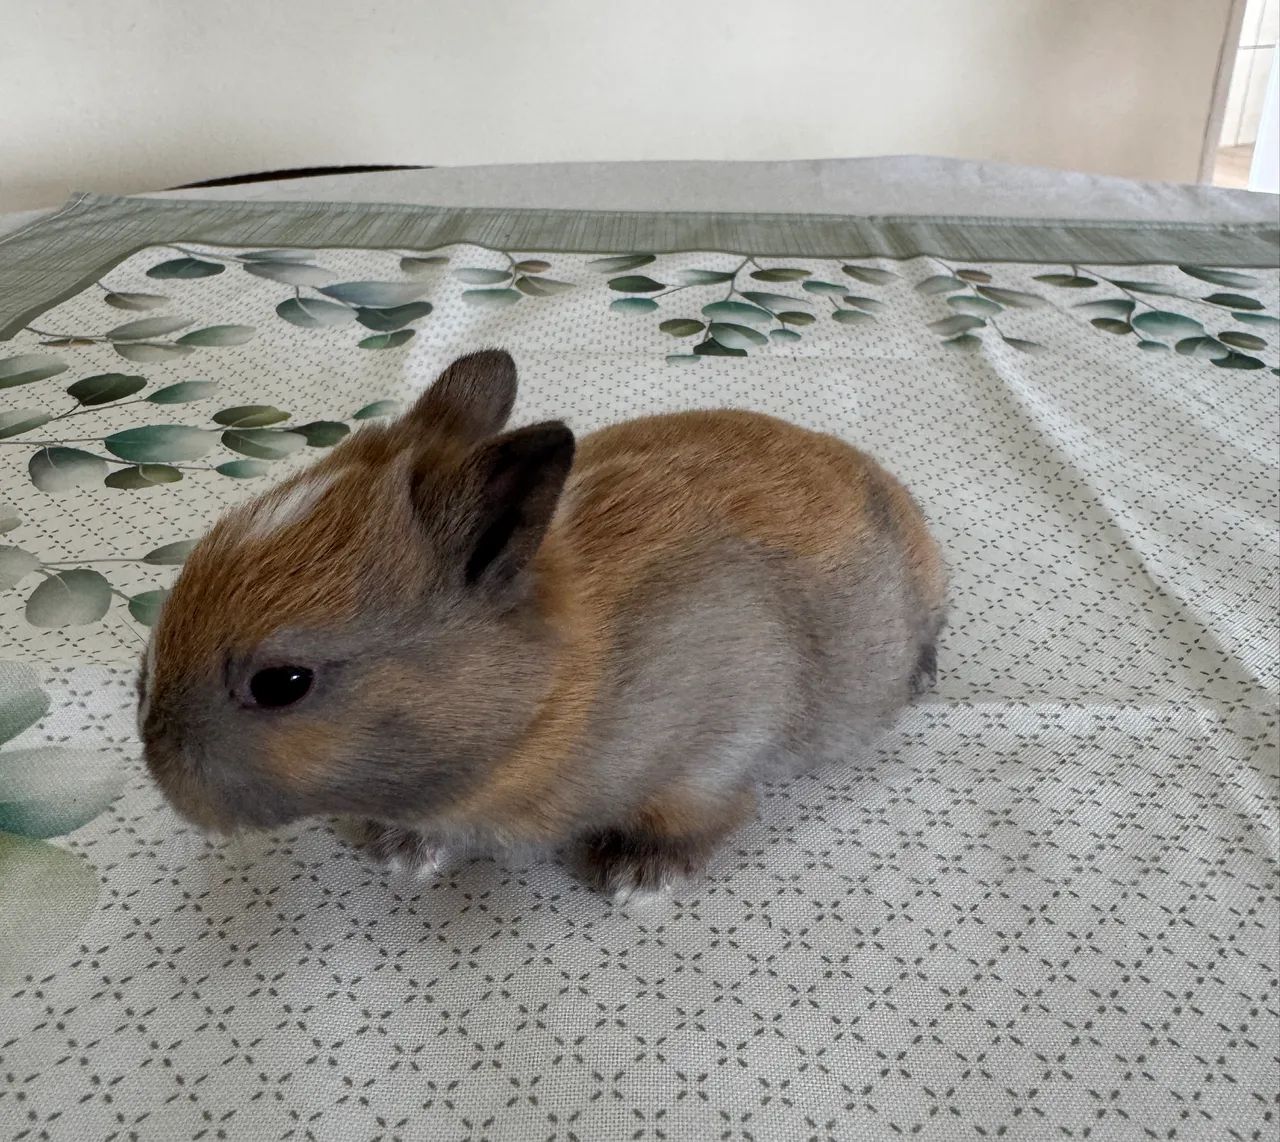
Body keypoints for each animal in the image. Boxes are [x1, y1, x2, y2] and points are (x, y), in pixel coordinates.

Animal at [139, 349, 946, 899]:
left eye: (282, 683)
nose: (155, 757)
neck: (551, 691)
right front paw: (395, 846)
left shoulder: (712, 750)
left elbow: (703, 811)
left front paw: (635, 876)